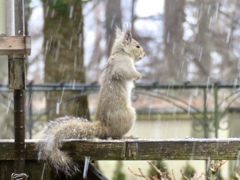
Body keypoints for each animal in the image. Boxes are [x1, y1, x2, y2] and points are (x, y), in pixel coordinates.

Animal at [35, 27, 144, 176]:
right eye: (137, 46)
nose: (144, 54)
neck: (121, 52)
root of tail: (104, 127)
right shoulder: (122, 64)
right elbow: (127, 73)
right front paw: (138, 75)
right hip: (128, 116)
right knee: (116, 136)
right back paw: (129, 136)